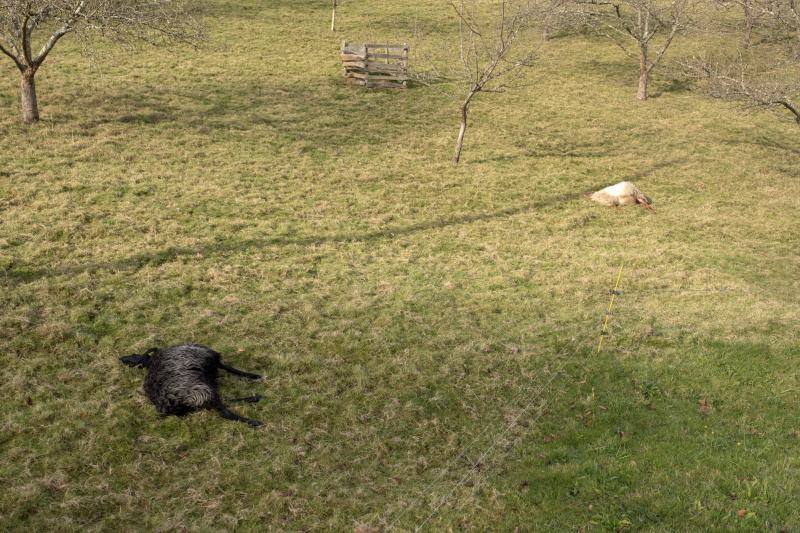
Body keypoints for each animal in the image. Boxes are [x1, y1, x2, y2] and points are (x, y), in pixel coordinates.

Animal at [120, 344, 263, 427]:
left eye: (133, 354)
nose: (122, 358)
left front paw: (254, 376)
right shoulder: (212, 361)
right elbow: (229, 367)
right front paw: (254, 376)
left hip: (203, 387)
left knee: (220, 402)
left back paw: (254, 398)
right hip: (200, 388)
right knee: (223, 410)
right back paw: (254, 419)